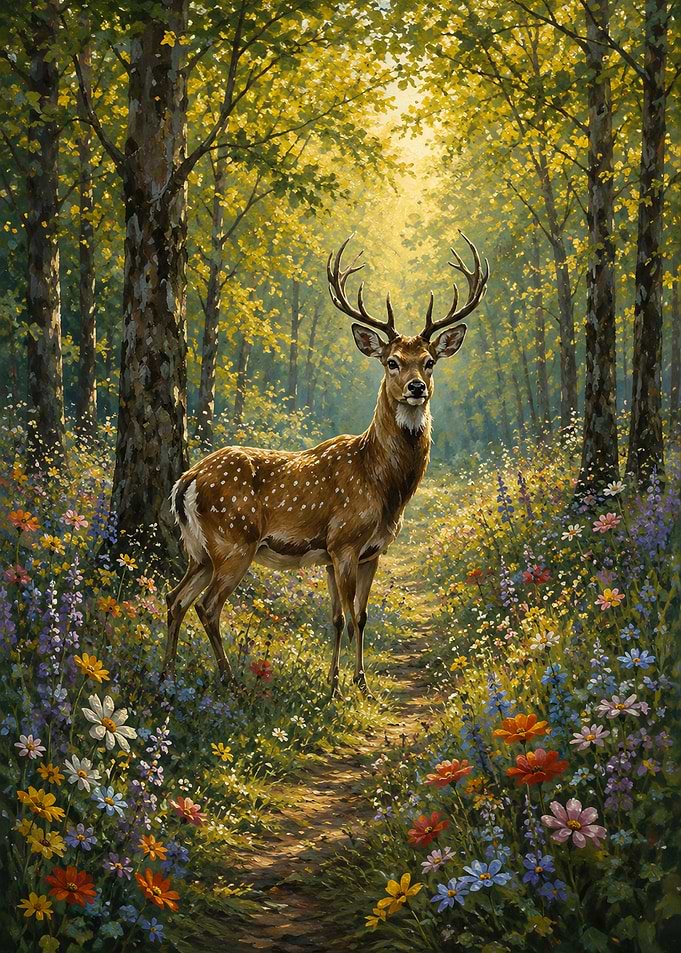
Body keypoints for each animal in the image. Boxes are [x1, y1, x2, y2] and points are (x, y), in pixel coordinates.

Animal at [165, 233, 488, 697]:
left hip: (199, 550)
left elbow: (352, 617)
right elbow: (346, 617)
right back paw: (230, 680)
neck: (384, 485)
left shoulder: (365, 553)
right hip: (234, 542)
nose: (416, 388)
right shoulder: (344, 543)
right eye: (391, 361)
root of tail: (185, 482)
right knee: (207, 606)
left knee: (175, 599)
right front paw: (344, 687)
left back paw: (168, 674)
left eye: (429, 361)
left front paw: (349, 682)